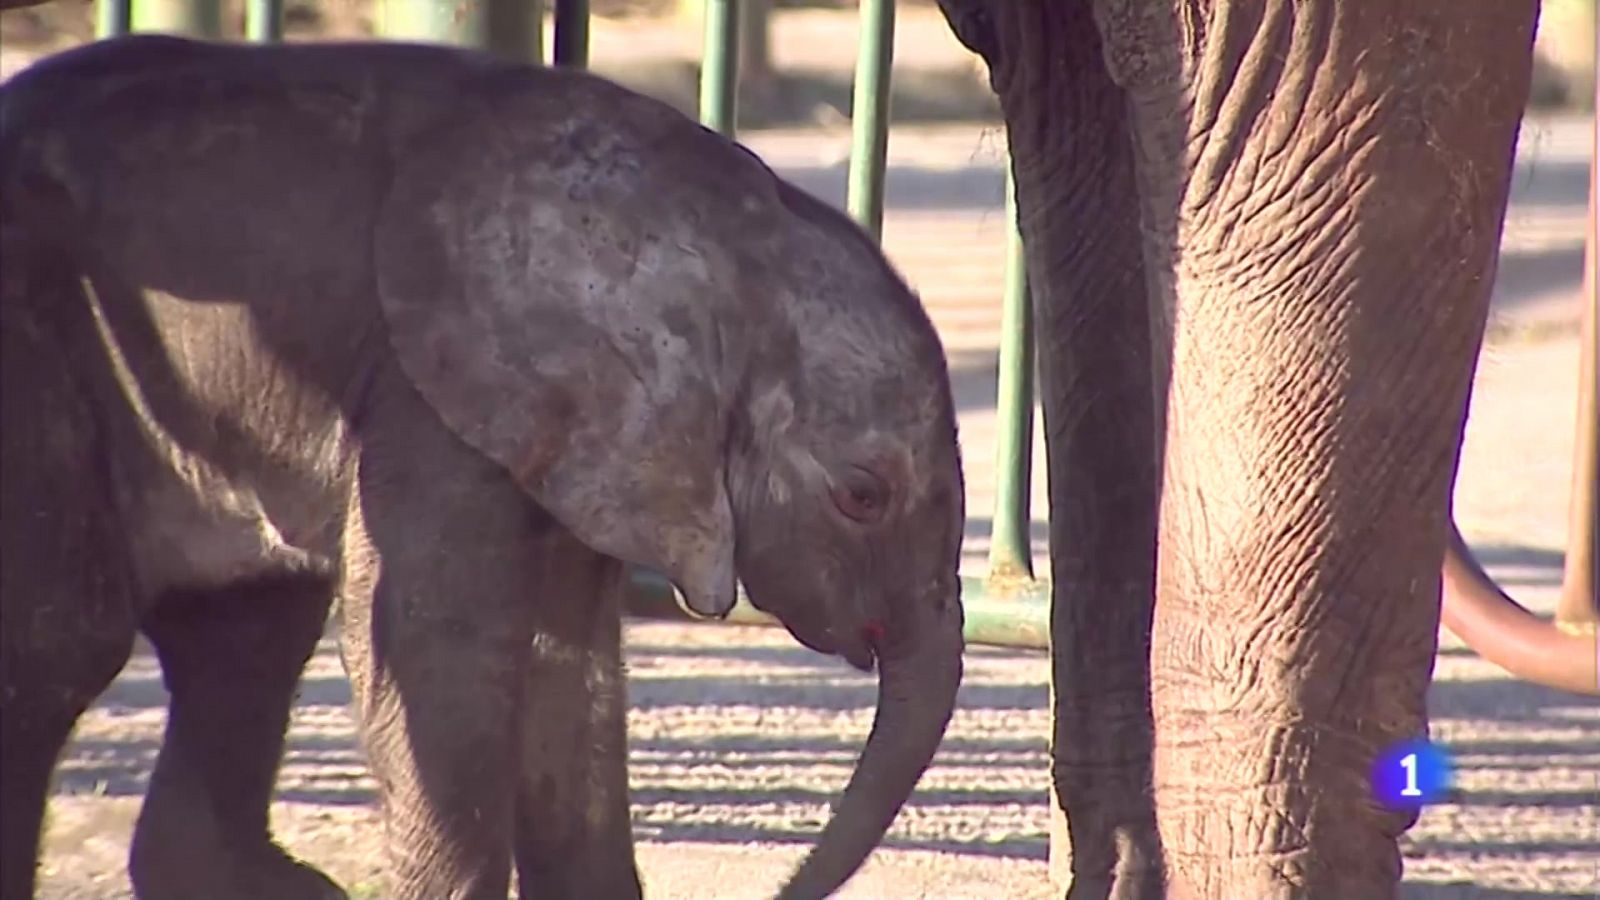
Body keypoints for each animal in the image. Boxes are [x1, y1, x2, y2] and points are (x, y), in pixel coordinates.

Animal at [0, 35, 960, 896]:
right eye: (862, 495)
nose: (785, 890)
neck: (726, 221)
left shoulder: (597, 437)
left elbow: (568, 671)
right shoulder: (427, 392)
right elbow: (433, 641)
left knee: (243, 629)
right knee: (63, 646)